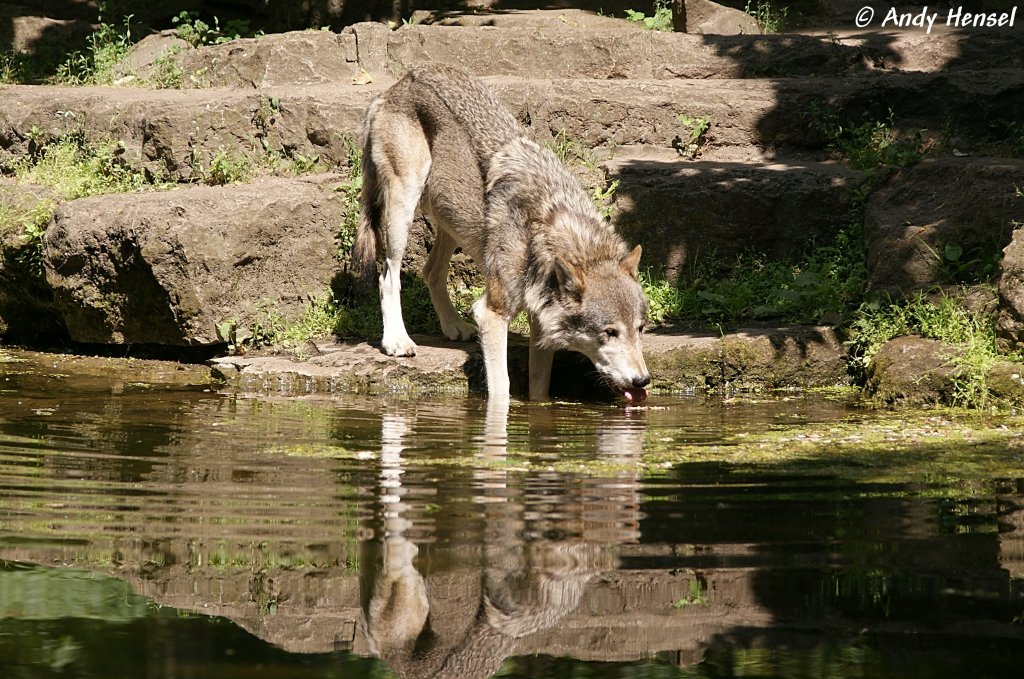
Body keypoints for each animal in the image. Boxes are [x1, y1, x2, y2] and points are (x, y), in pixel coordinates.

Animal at [355, 65, 650, 402]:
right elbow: (502, 388)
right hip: (403, 207)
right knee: (387, 277)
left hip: (454, 221)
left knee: (431, 271)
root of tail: (401, 81)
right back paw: (397, 341)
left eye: (640, 329)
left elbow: (539, 387)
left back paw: (454, 326)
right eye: (609, 332)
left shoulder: (540, 322)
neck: (545, 231)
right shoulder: (491, 313)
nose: (642, 380)